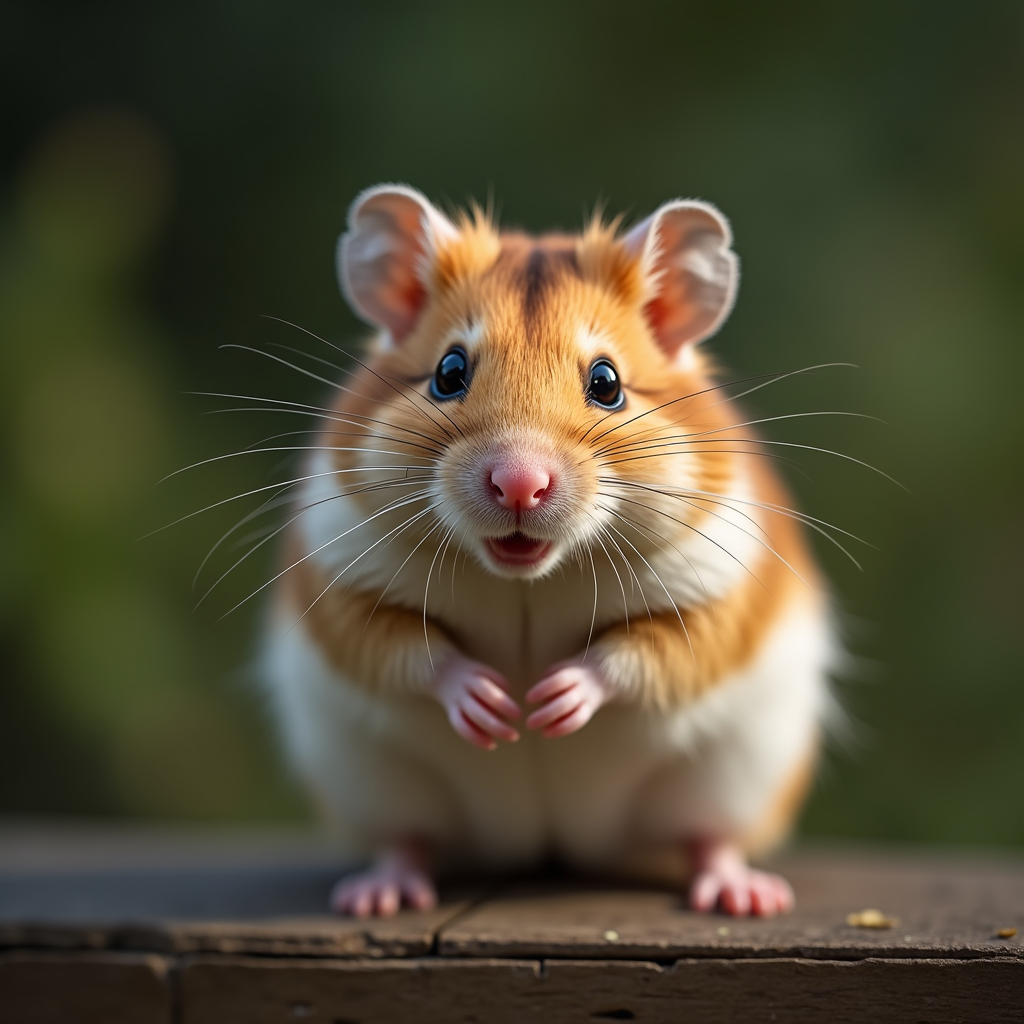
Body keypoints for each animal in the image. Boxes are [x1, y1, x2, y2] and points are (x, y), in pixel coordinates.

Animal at [263, 184, 833, 919]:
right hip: (374, 783)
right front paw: (497, 708)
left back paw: (744, 896)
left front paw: (548, 703)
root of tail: (549, 849)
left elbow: (642, 654)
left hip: (729, 778)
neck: (528, 577)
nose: (519, 483)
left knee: (708, 837)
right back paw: (378, 895)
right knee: (406, 837)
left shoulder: (717, 595)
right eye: (449, 371)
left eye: (607, 382)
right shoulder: (343, 582)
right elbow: (408, 650)